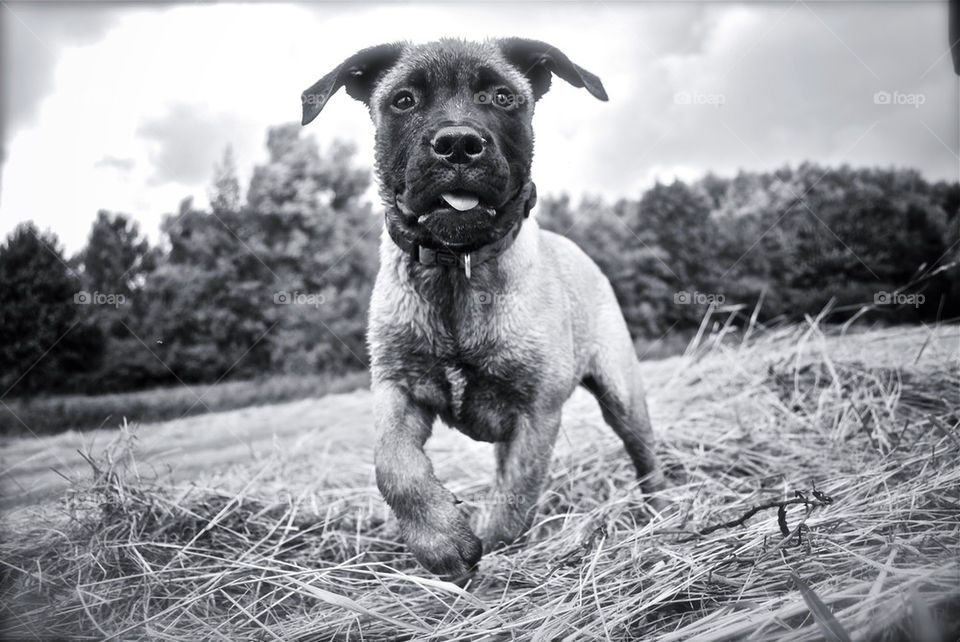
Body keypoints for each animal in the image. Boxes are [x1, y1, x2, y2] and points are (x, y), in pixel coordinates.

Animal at [300, 37, 660, 584]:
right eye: (403, 100)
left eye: (502, 97)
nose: (457, 144)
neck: (458, 267)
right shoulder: (398, 387)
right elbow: (393, 465)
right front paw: (440, 539)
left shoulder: (536, 414)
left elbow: (512, 505)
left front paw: (492, 561)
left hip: (623, 394)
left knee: (646, 456)